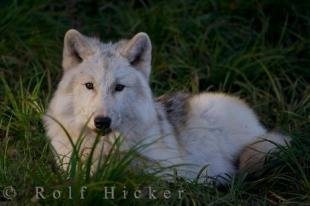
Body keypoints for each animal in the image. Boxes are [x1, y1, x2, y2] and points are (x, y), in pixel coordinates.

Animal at [43, 29, 288, 183]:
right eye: (89, 85)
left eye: (119, 87)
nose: (102, 121)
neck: (102, 146)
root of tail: (260, 127)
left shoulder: (167, 165)